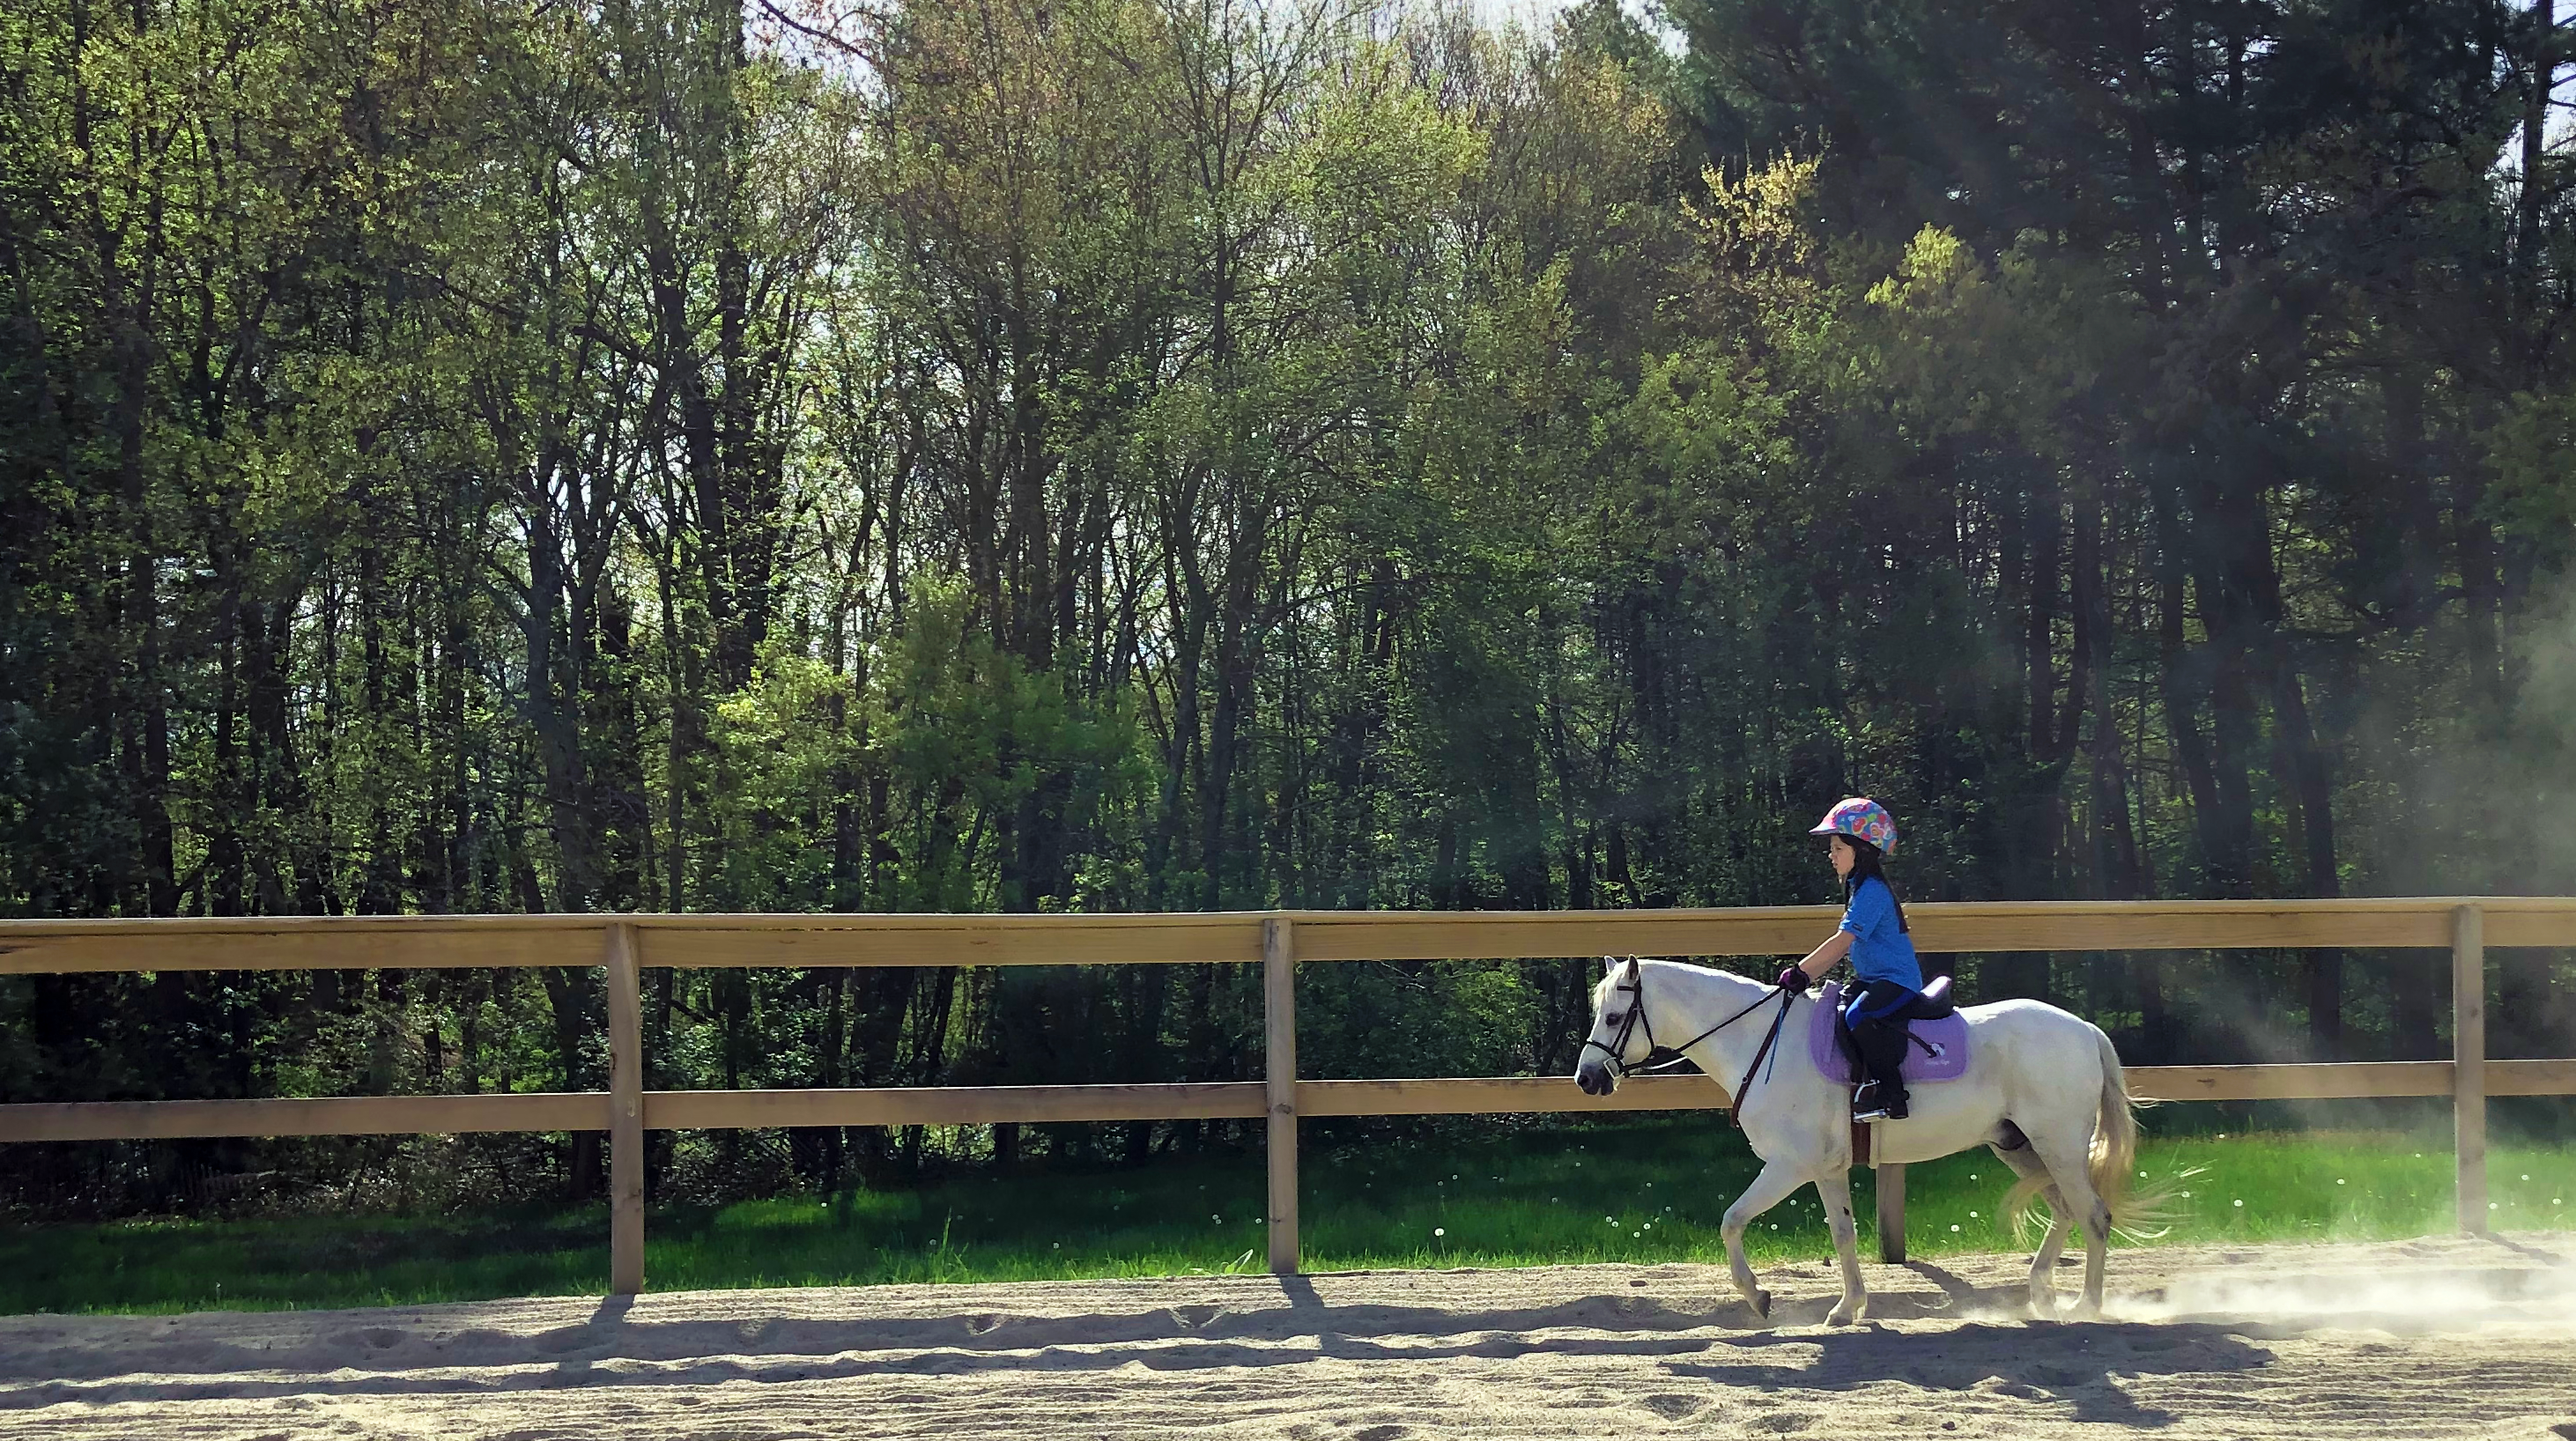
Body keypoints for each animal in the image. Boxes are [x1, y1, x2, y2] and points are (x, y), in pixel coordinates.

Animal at [1576, 957, 2143, 1327]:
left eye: (1613, 1016)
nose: (1587, 1078)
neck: (1763, 1043)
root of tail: (2083, 1028)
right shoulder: (1827, 1169)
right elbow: (1843, 1234)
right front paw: (1848, 1307)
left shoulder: (1790, 1166)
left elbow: (1731, 1221)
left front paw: (1760, 1298)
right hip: (2018, 1147)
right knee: (2065, 1212)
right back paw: (2041, 1293)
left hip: (2058, 1146)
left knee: (2093, 1215)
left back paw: (2087, 1306)